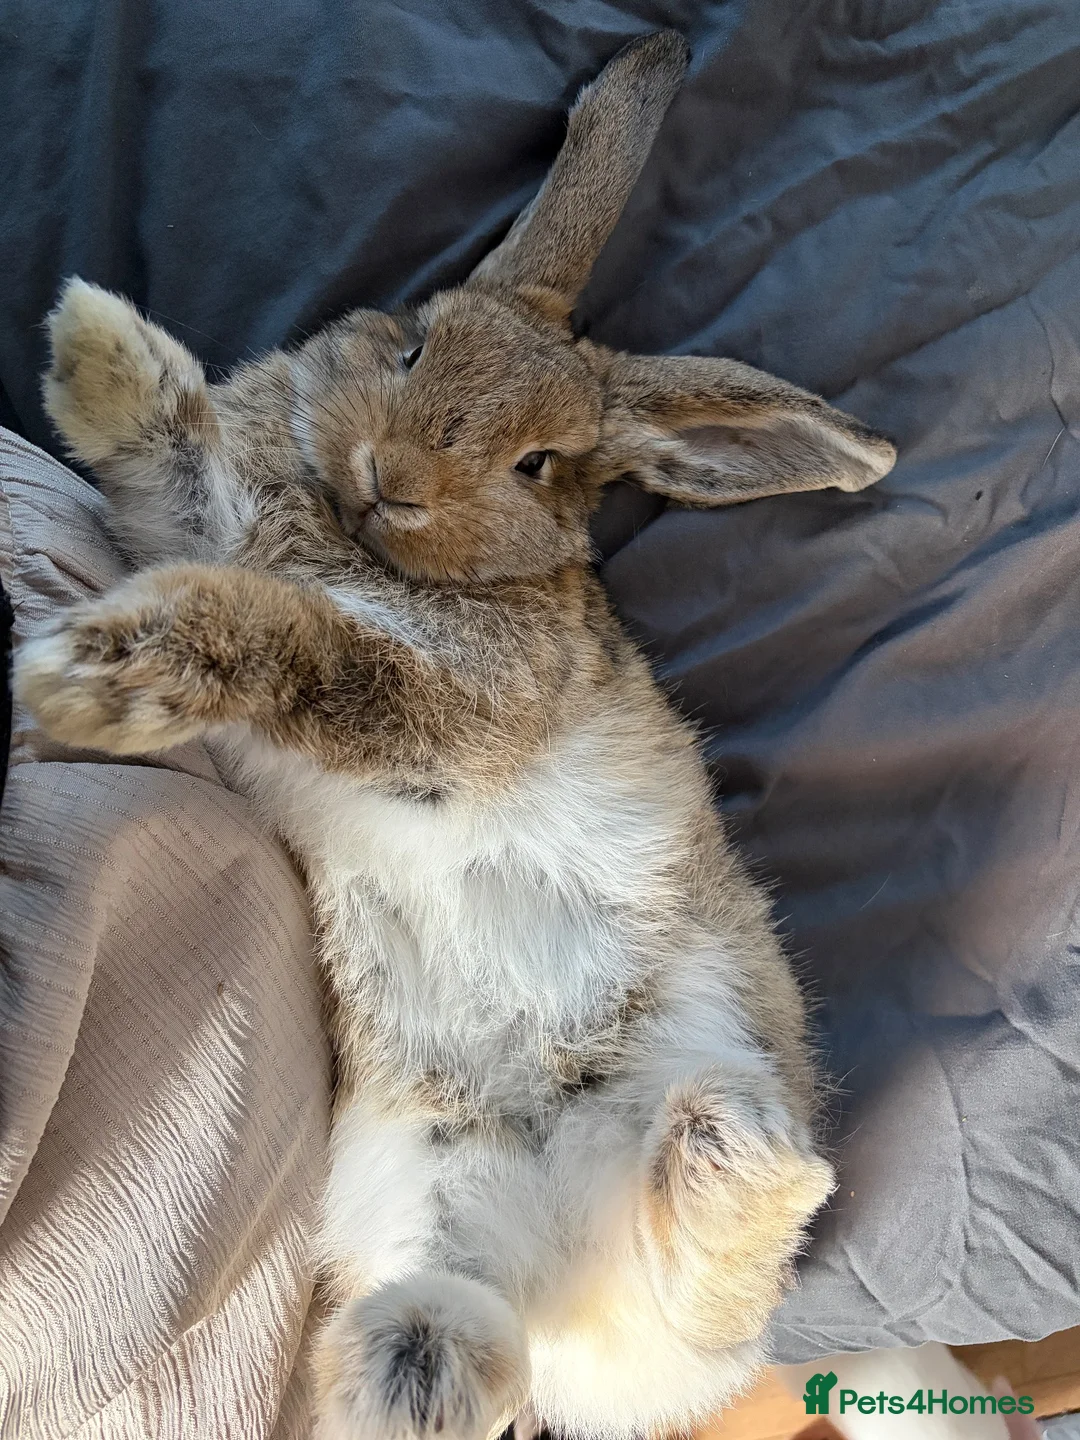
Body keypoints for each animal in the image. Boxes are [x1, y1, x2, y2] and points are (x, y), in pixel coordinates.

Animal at [14, 31, 896, 1440]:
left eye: (541, 462)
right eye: (416, 341)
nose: (393, 476)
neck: (354, 540)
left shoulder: (455, 704)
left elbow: (305, 649)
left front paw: (98, 673)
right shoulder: (203, 517)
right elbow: (171, 462)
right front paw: (99, 348)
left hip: (717, 1051)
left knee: (727, 1280)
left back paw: (733, 1165)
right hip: (424, 1217)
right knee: (453, 1334)